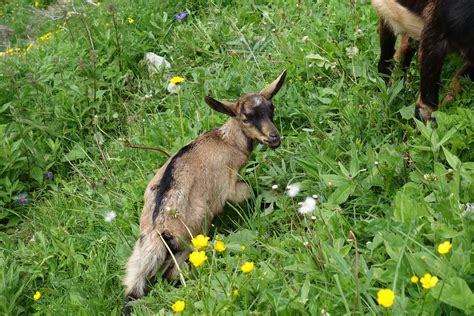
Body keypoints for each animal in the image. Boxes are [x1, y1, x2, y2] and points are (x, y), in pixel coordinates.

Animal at [123, 69, 286, 314]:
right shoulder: (229, 186)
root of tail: (158, 228)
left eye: (271, 109)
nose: (274, 137)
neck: (227, 141)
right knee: (172, 272)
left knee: (134, 280)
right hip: (194, 233)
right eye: (246, 117)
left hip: (144, 249)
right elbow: (249, 192)